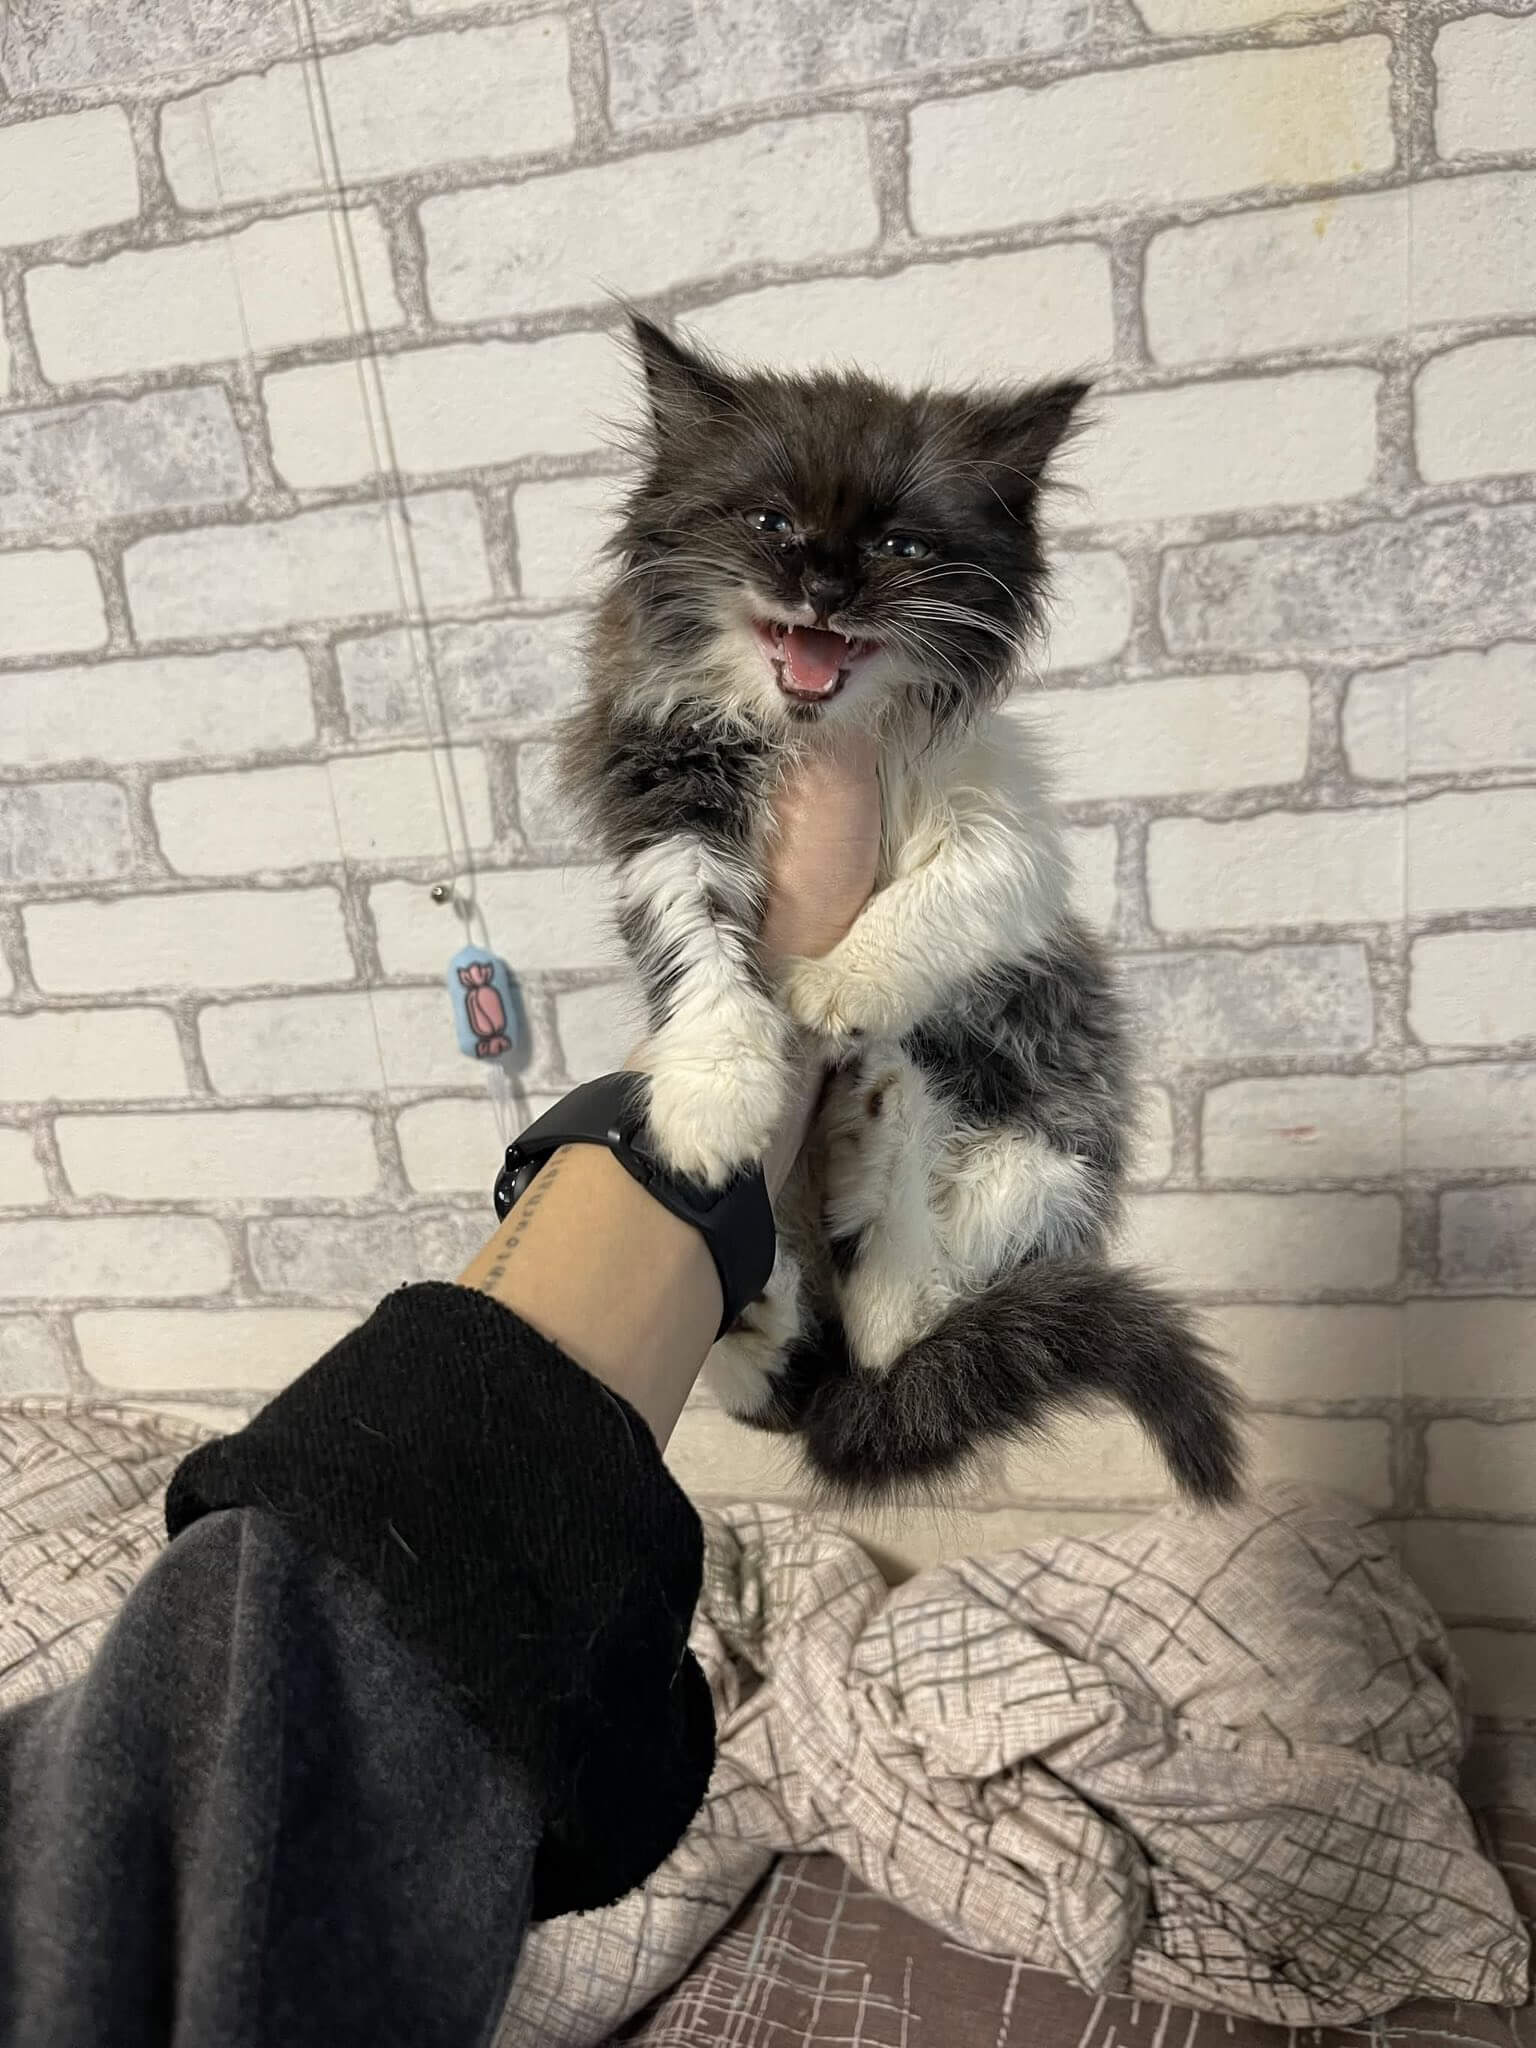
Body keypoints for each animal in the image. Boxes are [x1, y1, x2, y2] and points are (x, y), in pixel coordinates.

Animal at [560, 314, 1243, 1504]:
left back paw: (874, 1134)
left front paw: (842, 980)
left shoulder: (1005, 817)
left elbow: (959, 883)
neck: (817, 730)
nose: (826, 586)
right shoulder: (659, 788)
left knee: (901, 1315)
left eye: (900, 548)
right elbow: (693, 935)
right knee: (789, 1368)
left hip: (1046, 1145)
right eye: (771, 522)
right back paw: (772, 1282)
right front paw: (712, 1090)